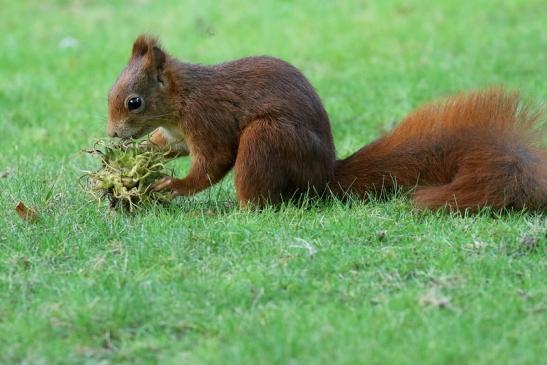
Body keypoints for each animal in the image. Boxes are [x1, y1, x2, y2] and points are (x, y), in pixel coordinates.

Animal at [107, 34, 547, 210]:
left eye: (134, 102)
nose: (112, 134)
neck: (180, 99)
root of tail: (323, 177)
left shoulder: (208, 121)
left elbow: (212, 163)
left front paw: (171, 185)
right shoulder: (180, 133)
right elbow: (170, 146)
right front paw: (141, 152)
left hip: (268, 138)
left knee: (258, 201)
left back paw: (231, 210)